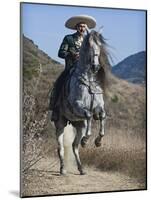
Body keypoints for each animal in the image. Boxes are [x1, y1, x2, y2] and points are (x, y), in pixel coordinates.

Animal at [50, 30, 110, 175]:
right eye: (89, 46)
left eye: (100, 47)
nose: (95, 66)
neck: (88, 80)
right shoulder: (77, 105)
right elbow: (88, 115)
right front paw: (86, 140)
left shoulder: (99, 107)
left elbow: (102, 116)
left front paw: (98, 141)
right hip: (60, 123)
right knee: (60, 147)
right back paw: (63, 169)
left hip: (79, 125)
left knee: (74, 146)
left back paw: (81, 169)